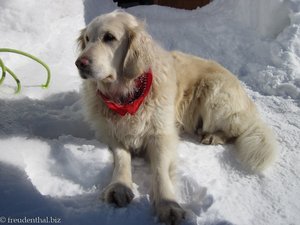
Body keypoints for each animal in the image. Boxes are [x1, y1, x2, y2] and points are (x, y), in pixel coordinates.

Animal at [75, 11, 276, 225]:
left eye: (109, 37)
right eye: (87, 39)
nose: (79, 63)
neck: (126, 95)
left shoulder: (162, 135)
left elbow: (160, 171)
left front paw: (168, 205)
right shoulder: (112, 133)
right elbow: (122, 159)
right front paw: (120, 186)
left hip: (214, 91)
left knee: (235, 130)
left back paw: (213, 136)